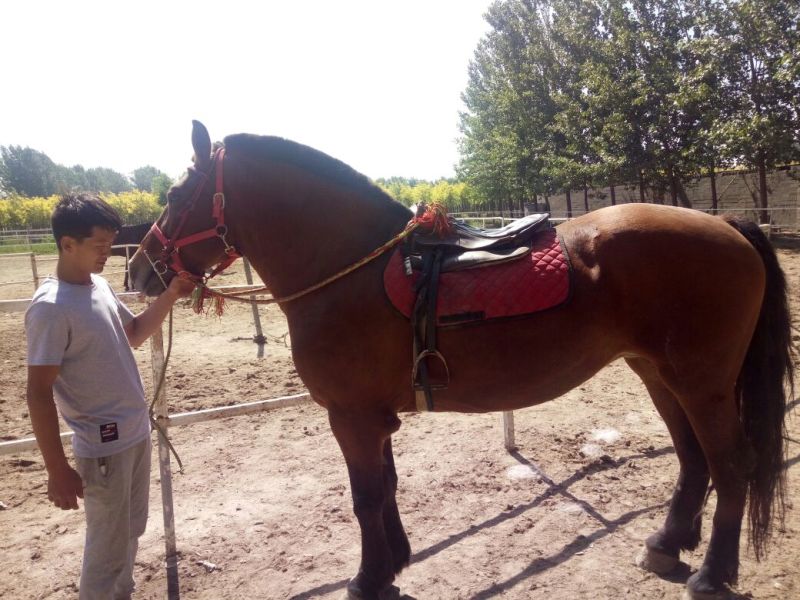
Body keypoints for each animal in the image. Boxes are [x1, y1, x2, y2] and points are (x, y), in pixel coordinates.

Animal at [129, 121, 794, 600]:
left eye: (176, 194)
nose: (140, 269)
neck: (349, 270)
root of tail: (728, 227)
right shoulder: (373, 418)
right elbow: (386, 487)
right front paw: (394, 561)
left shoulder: (350, 416)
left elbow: (365, 496)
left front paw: (368, 581)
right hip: (659, 375)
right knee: (694, 459)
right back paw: (668, 543)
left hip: (702, 384)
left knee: (732, 465)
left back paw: (712, 574)